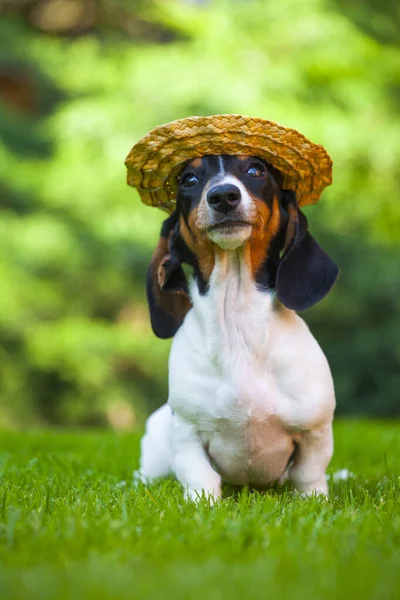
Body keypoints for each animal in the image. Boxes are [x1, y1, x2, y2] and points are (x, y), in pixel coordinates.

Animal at [137, 155, 338, 502]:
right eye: (189, 179)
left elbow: (308, 475)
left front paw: (315, 502)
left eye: (256, 170)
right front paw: (203, 505)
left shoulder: (315, 431)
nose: (222, 196)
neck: (236, 321)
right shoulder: (187, 433)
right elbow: (200, 478)